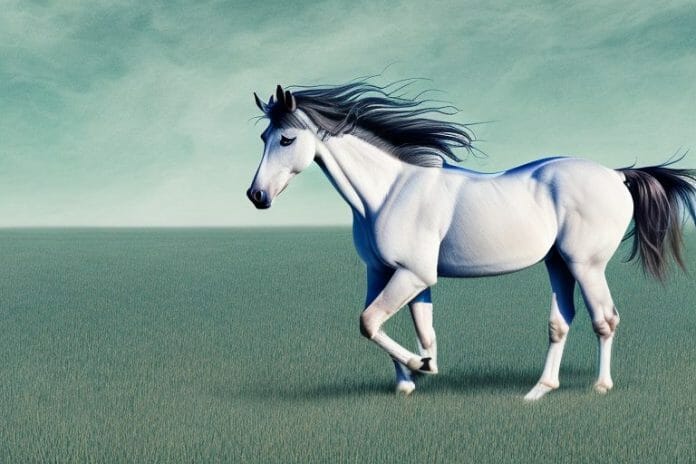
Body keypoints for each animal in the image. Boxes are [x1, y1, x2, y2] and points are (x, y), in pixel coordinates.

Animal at [246, 81, 696, 400]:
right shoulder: (386, 272)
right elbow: (403, 326)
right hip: (557, 263)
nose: (256, 196)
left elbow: (370, 321)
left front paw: (421, 367)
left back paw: (601, 387)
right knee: (561, 322)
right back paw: (537, 391)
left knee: (605, 319)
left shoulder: (413, 274)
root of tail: (616, 175)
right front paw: (411, 378)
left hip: (586, 265)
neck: (389, 191)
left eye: (287, 139)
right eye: (264, 138)